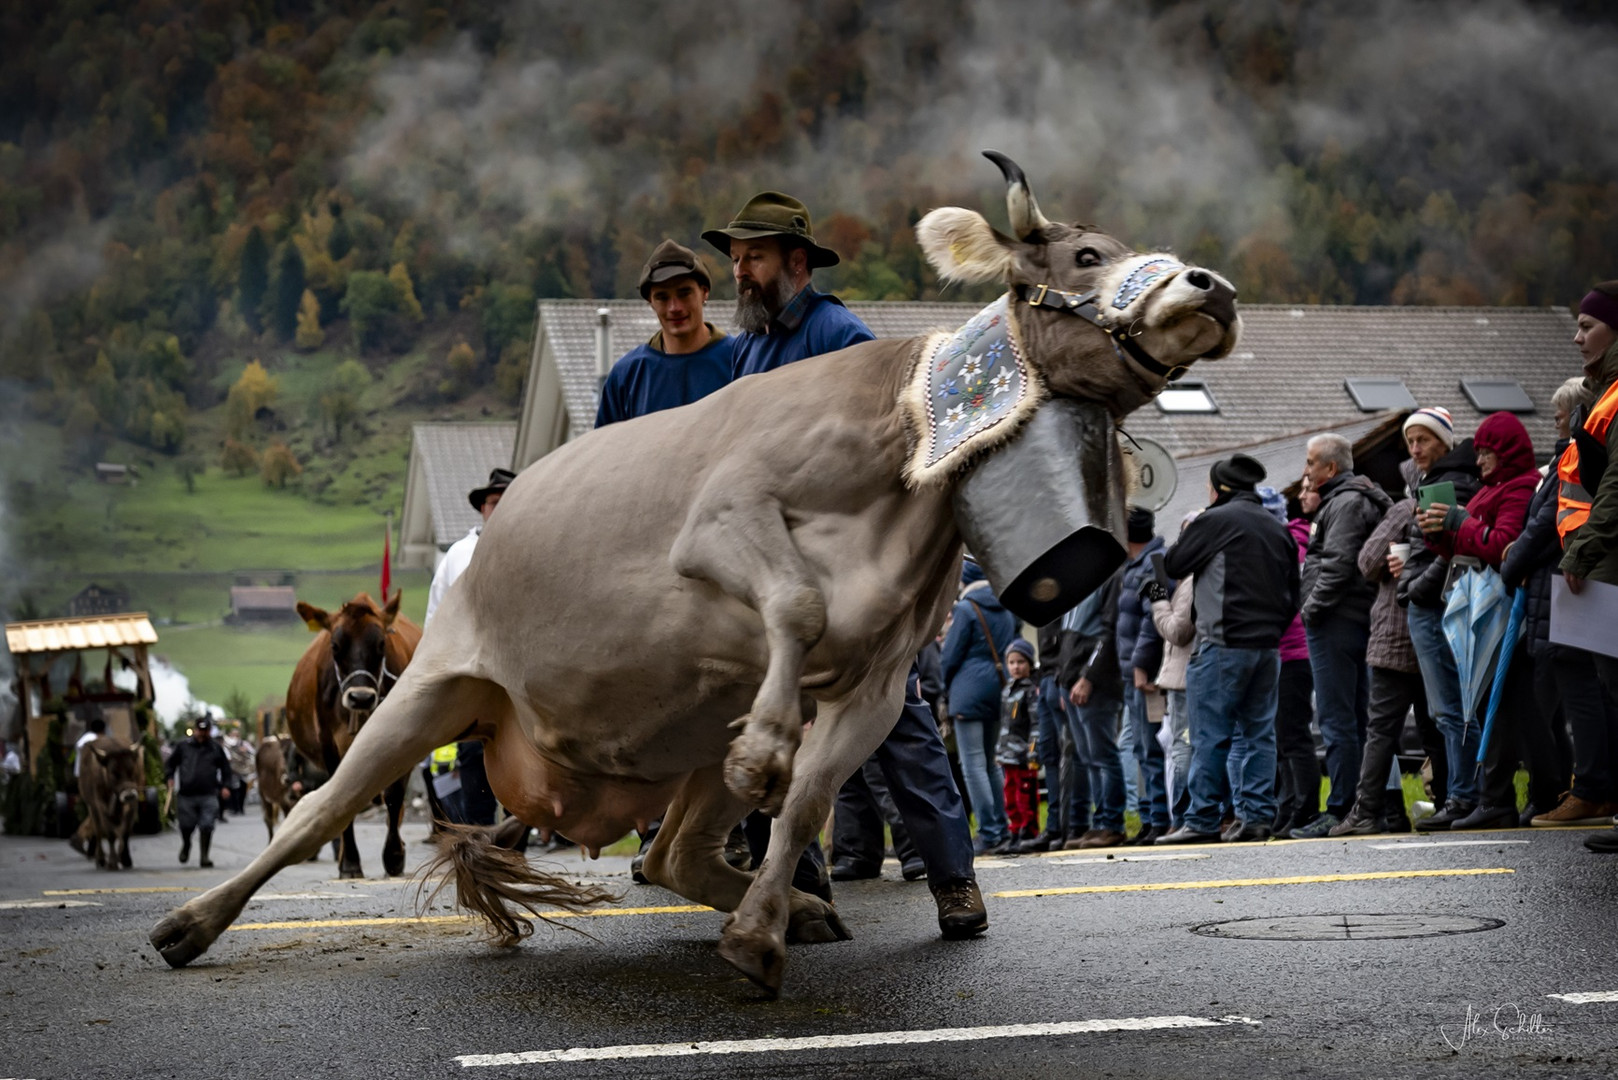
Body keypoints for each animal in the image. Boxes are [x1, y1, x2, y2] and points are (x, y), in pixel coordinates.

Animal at [77, 738, 144, 874]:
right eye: (114, 772)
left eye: (132, 770)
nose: (129, 794)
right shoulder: (101, 806)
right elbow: (110, 834)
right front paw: (112, 862)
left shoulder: (132, 805)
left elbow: (125, 832)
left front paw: (125, 859)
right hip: (92, 807)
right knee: (98, 831)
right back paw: (101, 859)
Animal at [286, 592, 423, 880]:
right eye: (335, 646)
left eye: (381, 643)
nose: (361, 697)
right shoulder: (328, 746)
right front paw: (349, 863)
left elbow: (394, 796)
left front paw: (394, 856)